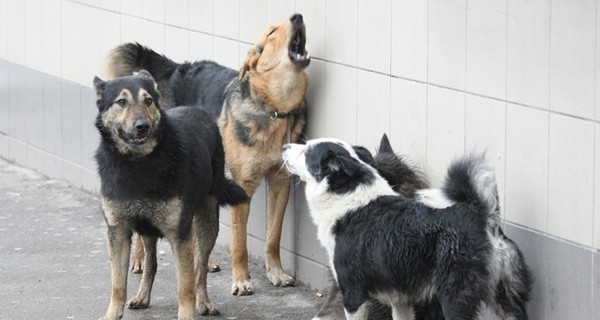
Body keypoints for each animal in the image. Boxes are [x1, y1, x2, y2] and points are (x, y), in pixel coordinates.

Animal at [93, 71, 246, 318]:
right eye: (121, 102)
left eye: (148, 100)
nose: (142, 126)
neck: (138, 163)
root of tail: (198, 110)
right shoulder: (118, 233)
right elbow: (118, 284)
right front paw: (112, 314)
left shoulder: (179, 235)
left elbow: (185, 286)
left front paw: (187, 314)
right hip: (147, 229)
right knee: (151, 263)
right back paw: (142, 296)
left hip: (206, 223)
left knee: (199, 267)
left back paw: (204, 302)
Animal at [105, 14, 310, 296]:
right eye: (271, 32)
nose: (297, 16)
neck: (274, 109)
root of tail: (174, 68)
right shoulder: (243, 186)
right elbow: (239, 242)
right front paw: (241, 280)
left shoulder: (281, 183)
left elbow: (273, 237)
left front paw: (275, 273)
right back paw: (139, 259)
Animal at [284, 138, 532, 320]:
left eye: (306, 151)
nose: (285, 146)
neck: (349, 201)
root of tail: (481, 215)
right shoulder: (400, 299)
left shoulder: (354, 295)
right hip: (507, 300)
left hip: (455, 297)